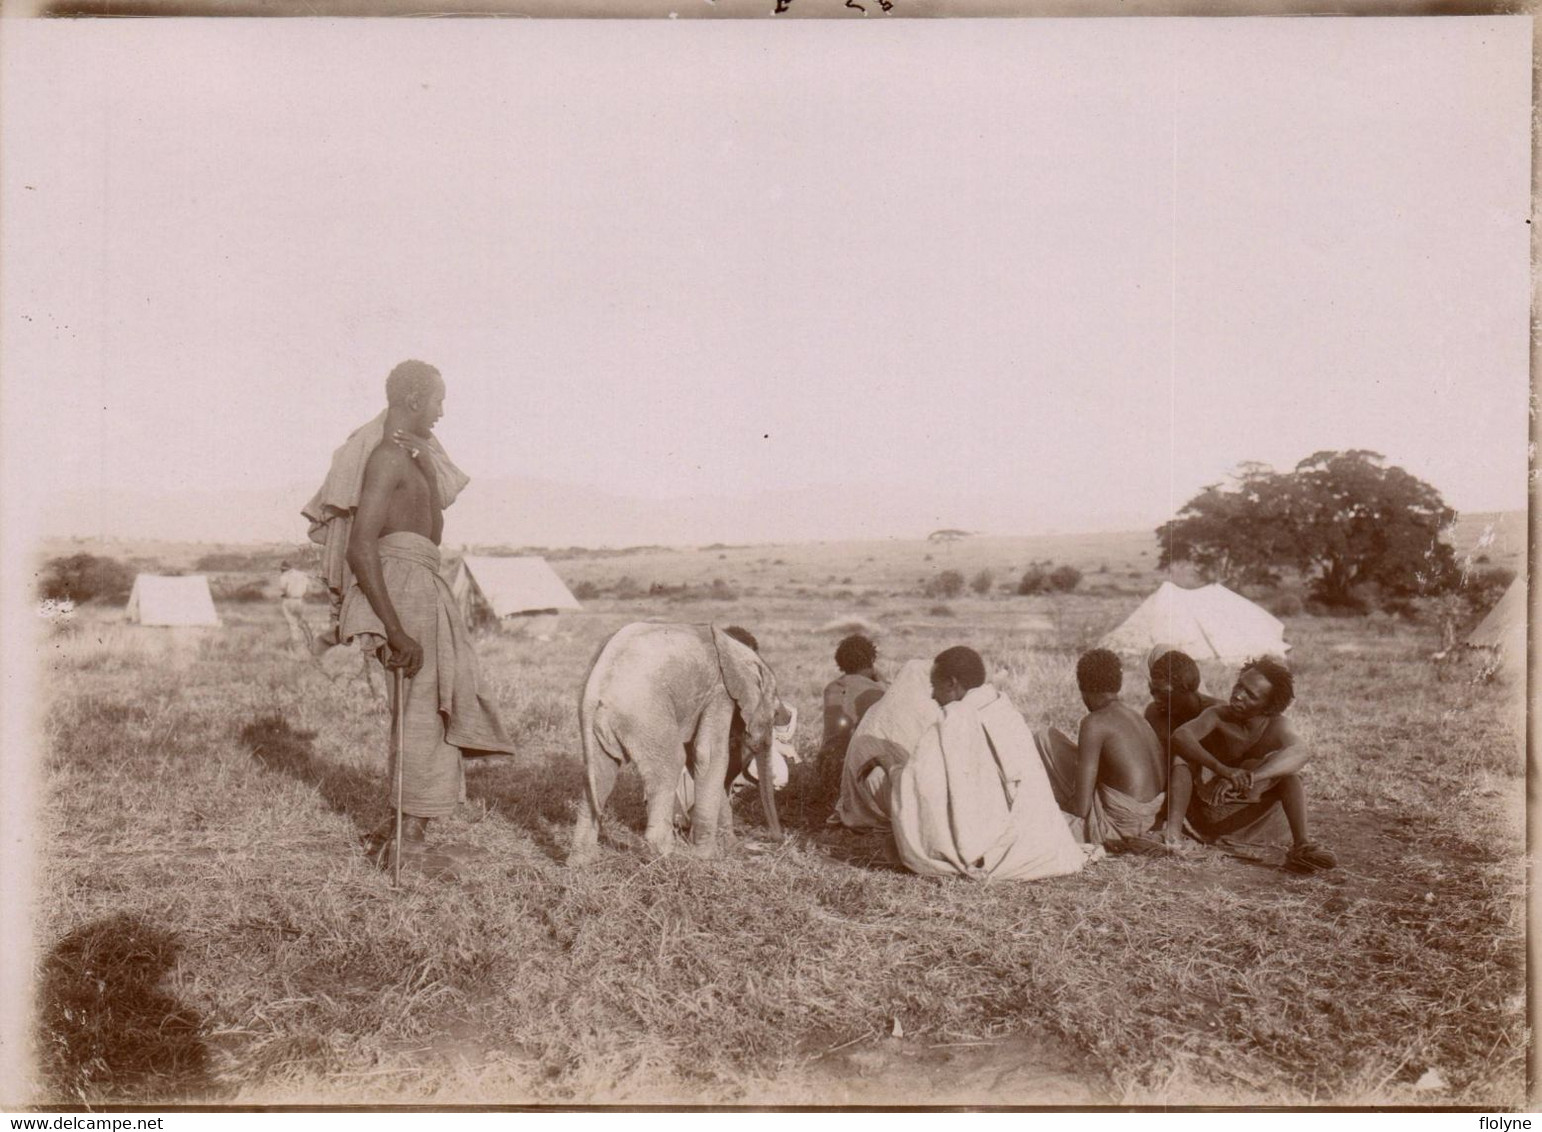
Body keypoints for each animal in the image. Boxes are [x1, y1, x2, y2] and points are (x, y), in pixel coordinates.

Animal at [570, 626, 783, 863]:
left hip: (601, 726)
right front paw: (706, 857)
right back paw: (668, 856)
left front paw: (731, 846)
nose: (777, 839)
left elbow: (695, 758)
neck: (736, 649)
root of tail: (592, 691)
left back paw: (581, 863)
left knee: (601, 773)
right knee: (671, 762)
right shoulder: (720, 692)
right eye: (775, 713)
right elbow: (709, 755)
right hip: (645, 715)